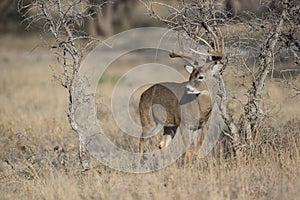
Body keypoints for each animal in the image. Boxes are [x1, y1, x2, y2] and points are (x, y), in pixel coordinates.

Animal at [138, 24, 225, 155]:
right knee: (141, 142)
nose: (187, 87)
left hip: (169, 125)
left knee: (161, 144)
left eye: (201, 76)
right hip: (148, 120)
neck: (200, 110)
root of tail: (143, 94)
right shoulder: (184, 124)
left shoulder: (204, 126)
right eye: (190, 76)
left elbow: (197, 150)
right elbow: (189, 150)